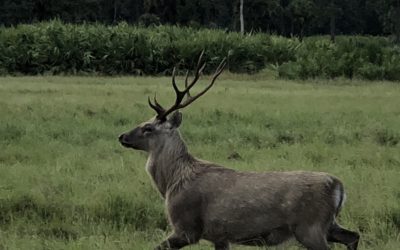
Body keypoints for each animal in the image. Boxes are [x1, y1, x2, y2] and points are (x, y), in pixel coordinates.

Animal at [119, 51, 360, 249]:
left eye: (148, 127)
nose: (122, 136)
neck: (171, 183)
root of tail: (338, 186)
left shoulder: (186, 226)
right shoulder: (220, 236)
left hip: (309, 226)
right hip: (327, 224)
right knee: (354, 236)